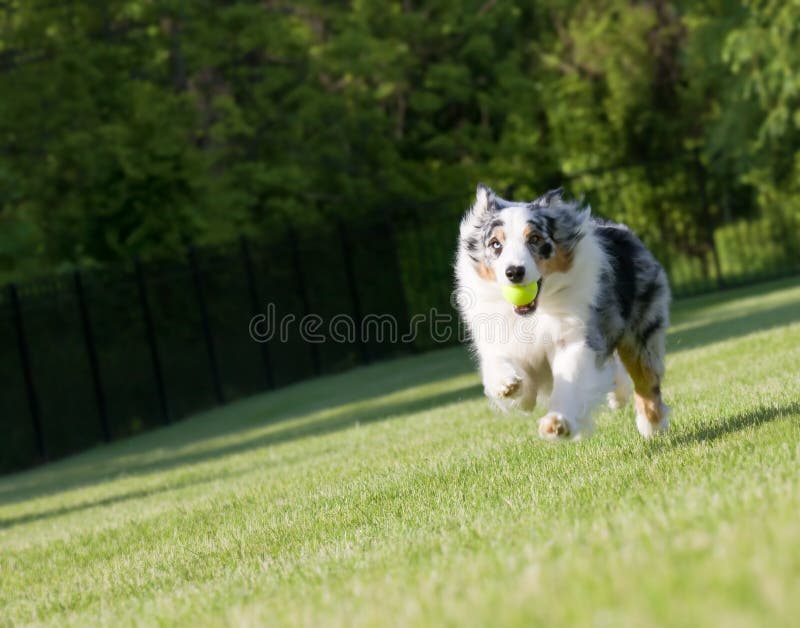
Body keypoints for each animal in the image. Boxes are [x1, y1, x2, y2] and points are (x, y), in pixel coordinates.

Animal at [456, 184, 668, 440]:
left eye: (535, 239)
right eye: (496, 244)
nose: (514, 272)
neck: (535, 313)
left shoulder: (576, 336)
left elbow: (571, 379)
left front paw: (557, 422)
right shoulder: (501, 338)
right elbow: (505, 371)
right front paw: (506, 383)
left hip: (640, 328)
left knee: (645, 377)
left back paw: (651, 426)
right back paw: (619, 394)